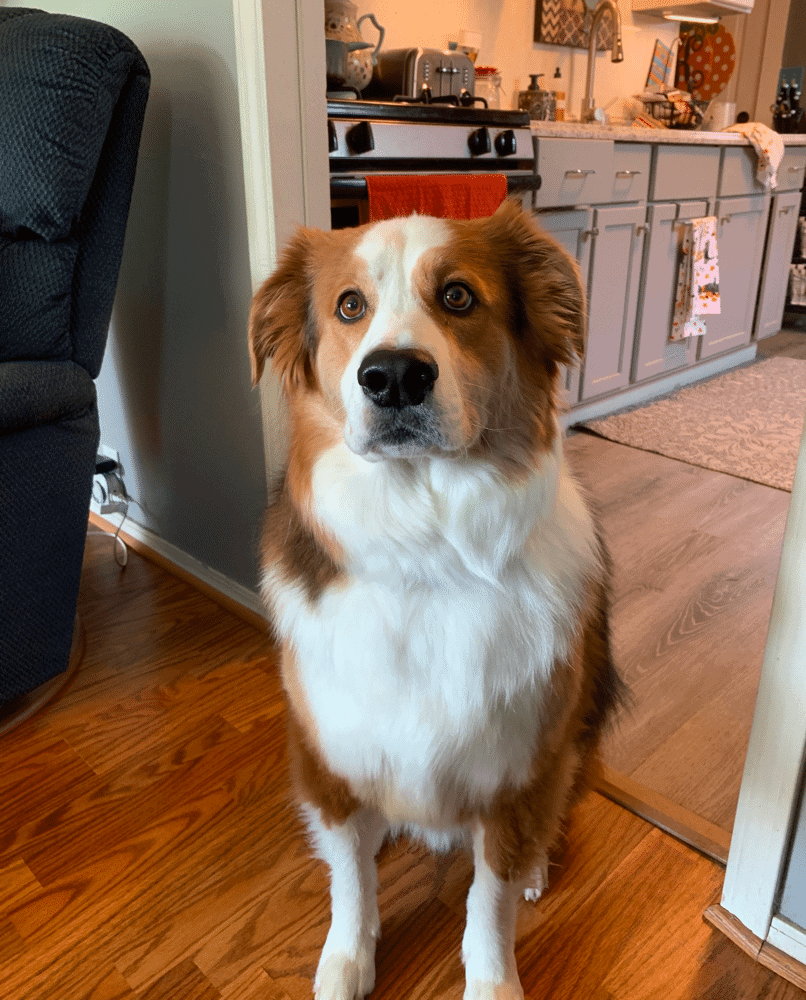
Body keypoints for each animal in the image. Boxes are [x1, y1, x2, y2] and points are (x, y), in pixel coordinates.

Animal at [249, 201, 620, 1000]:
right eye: (348, 306)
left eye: (457, 296)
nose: (393, 376)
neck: (424, 550)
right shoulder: (326, 758)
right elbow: (350, 879)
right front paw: (348, 959)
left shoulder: (516, 775)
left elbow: (490, 901)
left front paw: (494, 981)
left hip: (572, 733)